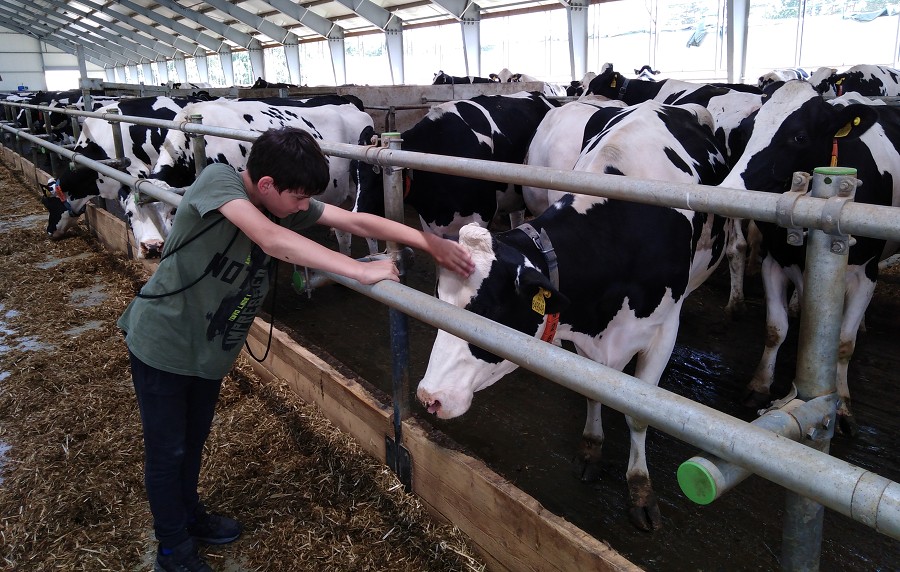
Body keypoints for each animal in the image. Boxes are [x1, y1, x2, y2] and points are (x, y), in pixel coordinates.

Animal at [418, 98, 736, 532]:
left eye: (488, 311)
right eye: (439, 301)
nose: (429, 397)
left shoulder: (661, 331)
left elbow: (639, 415)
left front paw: (640, 489)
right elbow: (592, 392)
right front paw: (591, 449)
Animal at [720, 80, 896, 434]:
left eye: (799, 136)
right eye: (746, 129)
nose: (729, 192)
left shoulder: (867, 272)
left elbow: (843, 343)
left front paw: (842, 405)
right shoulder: (775, 260)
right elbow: (775, 329)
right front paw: (759, 385)